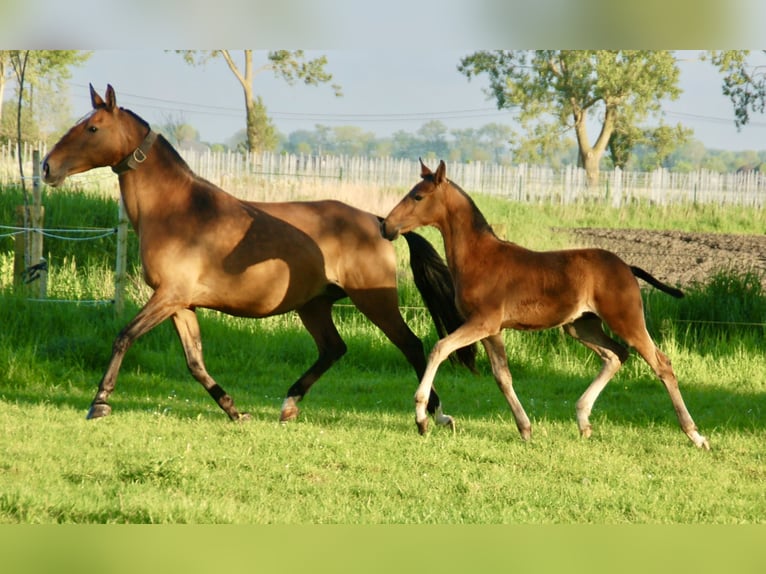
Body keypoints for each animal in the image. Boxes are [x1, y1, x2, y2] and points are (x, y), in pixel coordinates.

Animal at [43, 85, 474, 428]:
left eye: (92, 128)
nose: (48, 167)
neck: (178, 211)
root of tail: (378, 220)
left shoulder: (168, 296)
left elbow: (124, 337)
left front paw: (99, 403)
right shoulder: (181, 304)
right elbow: (195, 362)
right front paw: (235, 411)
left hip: (375, 302)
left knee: (412, 345)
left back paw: (435, 414)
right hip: (313, 305)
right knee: (333, 349)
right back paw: (289, 405)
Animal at [384, 161, 712, 450]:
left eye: (418, 196)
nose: (387, 226)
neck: (479, 257)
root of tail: (627, 268)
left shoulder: (482, 323)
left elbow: (439, 348)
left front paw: (423, 417)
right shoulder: (492, 330)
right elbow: (502, 376)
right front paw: (525, 429)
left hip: (625, 320)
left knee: (661, 363)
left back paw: (695, 435)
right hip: (581, 326)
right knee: (615, 355)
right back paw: (583, 421)